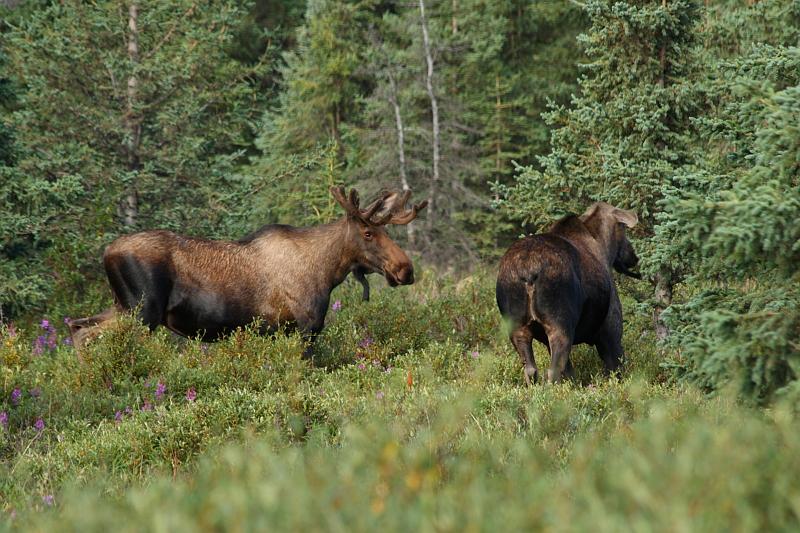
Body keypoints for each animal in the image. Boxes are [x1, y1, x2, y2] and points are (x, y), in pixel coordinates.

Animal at [70, 185, 424, 352]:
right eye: (368, 232)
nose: (406, 269)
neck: (327, 272)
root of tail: (107, 252)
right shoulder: (307, 326)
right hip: (142, 312)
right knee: (86, 333)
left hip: (123, 306)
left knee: (76, 326)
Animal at [496, 202, 640, 384]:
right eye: (624, 229)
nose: (634, 256)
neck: (604, 247)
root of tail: (528, 272)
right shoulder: (610, 330)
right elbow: (615, 370)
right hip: (560, 324)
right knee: (553, 370)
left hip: (517, 327)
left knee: (531, 370)